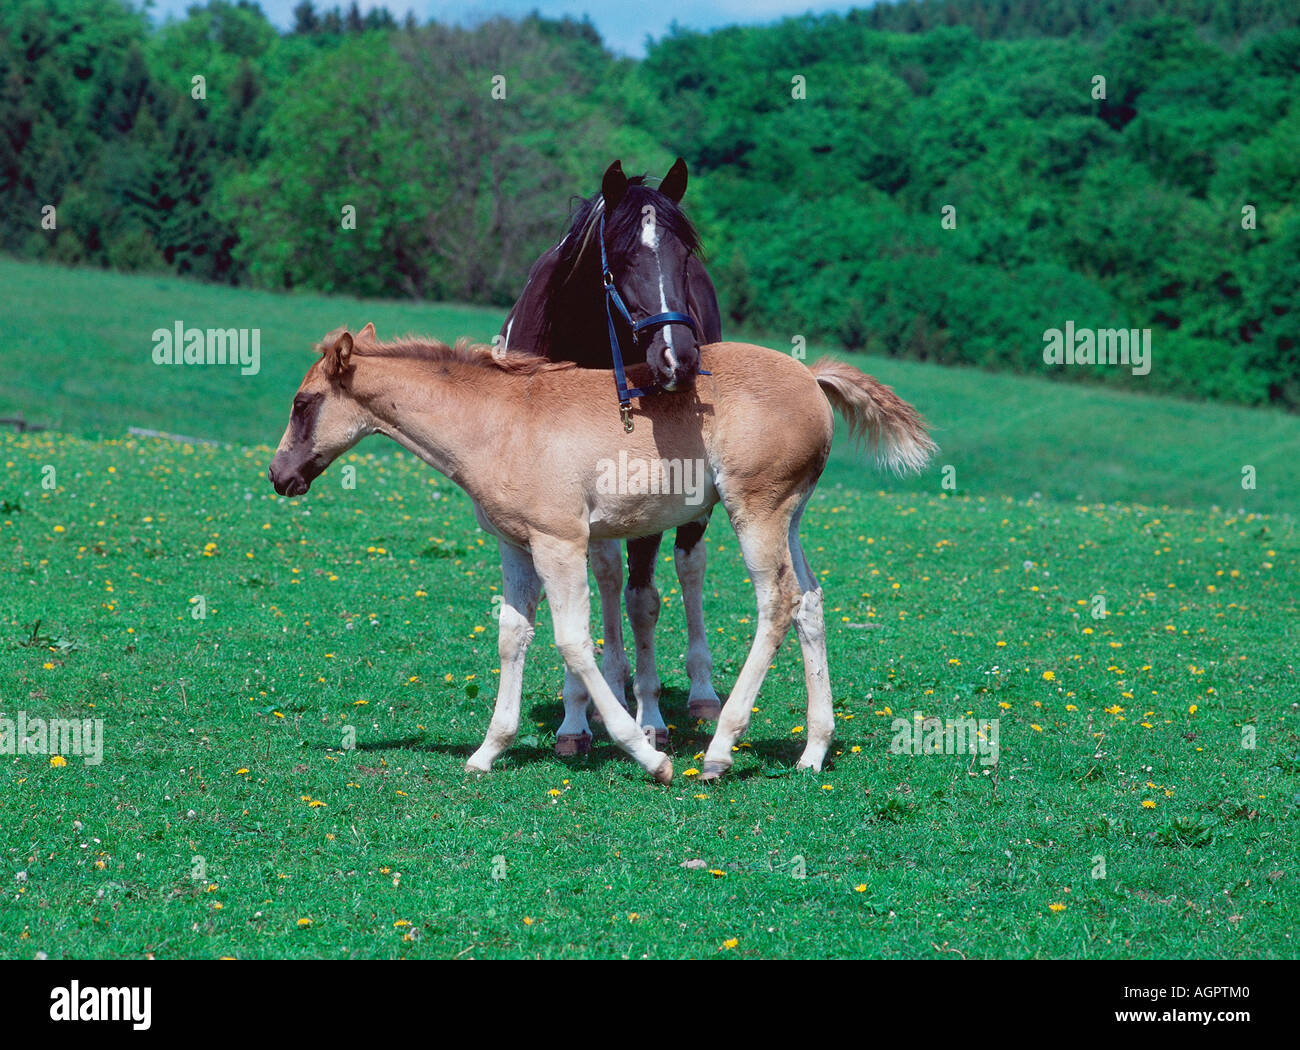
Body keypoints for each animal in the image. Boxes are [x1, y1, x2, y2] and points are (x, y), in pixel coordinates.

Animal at [496, 155, 722, 748]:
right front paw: (577, 718)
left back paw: (698, 694)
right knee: (606, 578)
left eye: (685, 255)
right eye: (620, 259)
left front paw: (650, 718)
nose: (678, 358)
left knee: (688, 568)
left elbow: (645, 602)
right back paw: (608, 695)